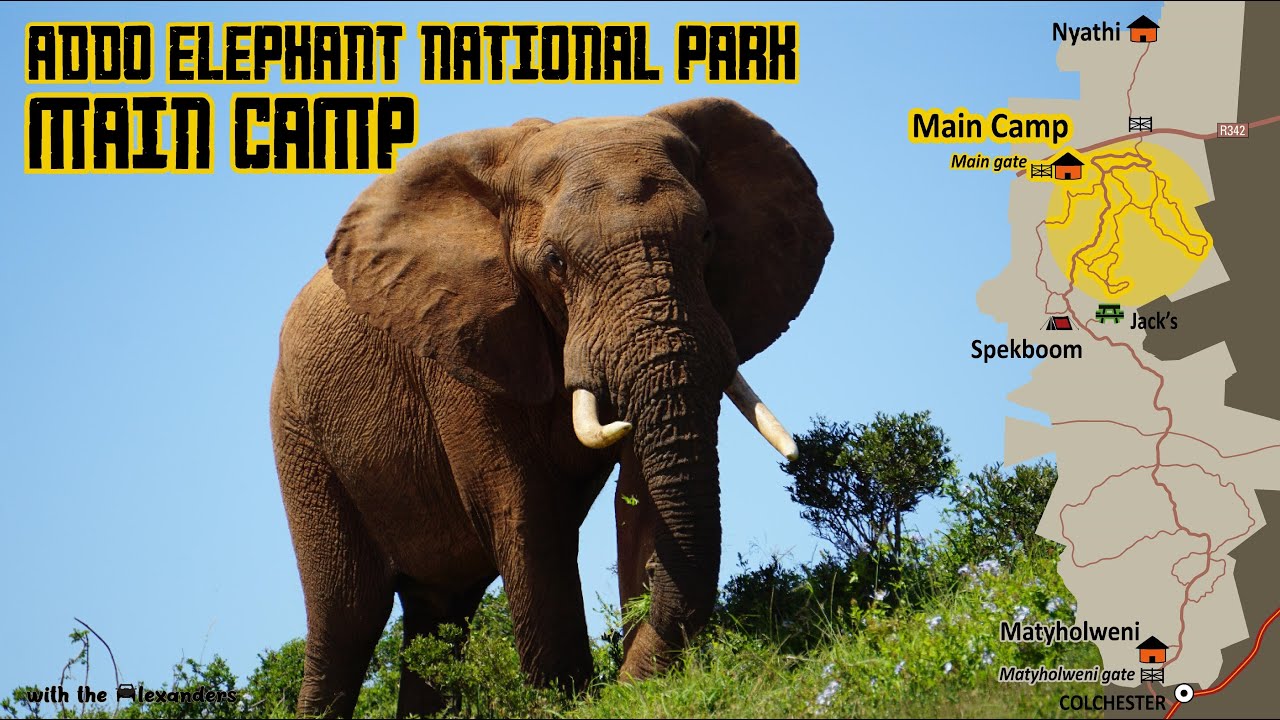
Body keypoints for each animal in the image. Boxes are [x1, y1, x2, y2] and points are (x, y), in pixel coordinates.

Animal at [269, 96, 833, 717]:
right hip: (299, 435)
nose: (626, 681)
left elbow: (639, 494)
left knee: (439, 615)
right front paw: (571, 701)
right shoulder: (463, 343)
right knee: (347, 617)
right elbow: (523, 508)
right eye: (556, 262)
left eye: (707, 237)